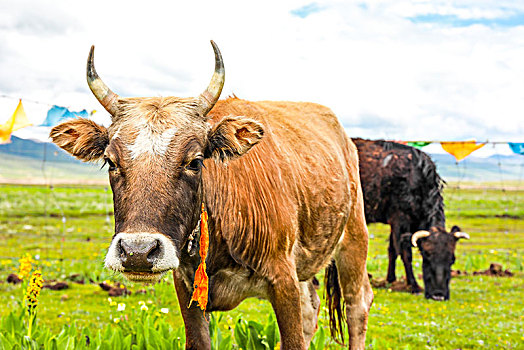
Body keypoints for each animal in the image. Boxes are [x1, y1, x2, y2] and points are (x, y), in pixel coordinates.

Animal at [49, 42, 372, 348]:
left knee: (358, 303)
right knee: (311, 307)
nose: (137, 252)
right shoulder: (187, 288)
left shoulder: (284, 281)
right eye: (111, 161)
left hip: (354, 240)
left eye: (194, 161)